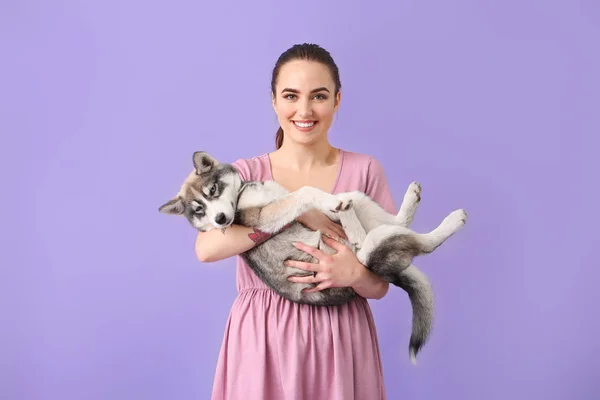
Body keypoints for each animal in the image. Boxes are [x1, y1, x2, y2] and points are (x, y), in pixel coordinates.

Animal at [161, 150, 468, 362]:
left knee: (389, 218)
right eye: (198, 210)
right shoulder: (264, 217)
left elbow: (322, 200)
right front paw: (337, 210)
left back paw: (403, 202)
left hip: (367, 207)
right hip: (376, 247)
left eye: (212, 191)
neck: (243, 193)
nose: (222, 221)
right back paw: (447, 222)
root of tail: (389, 272)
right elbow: (306, 192)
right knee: (420, 244)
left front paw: (340, 213)